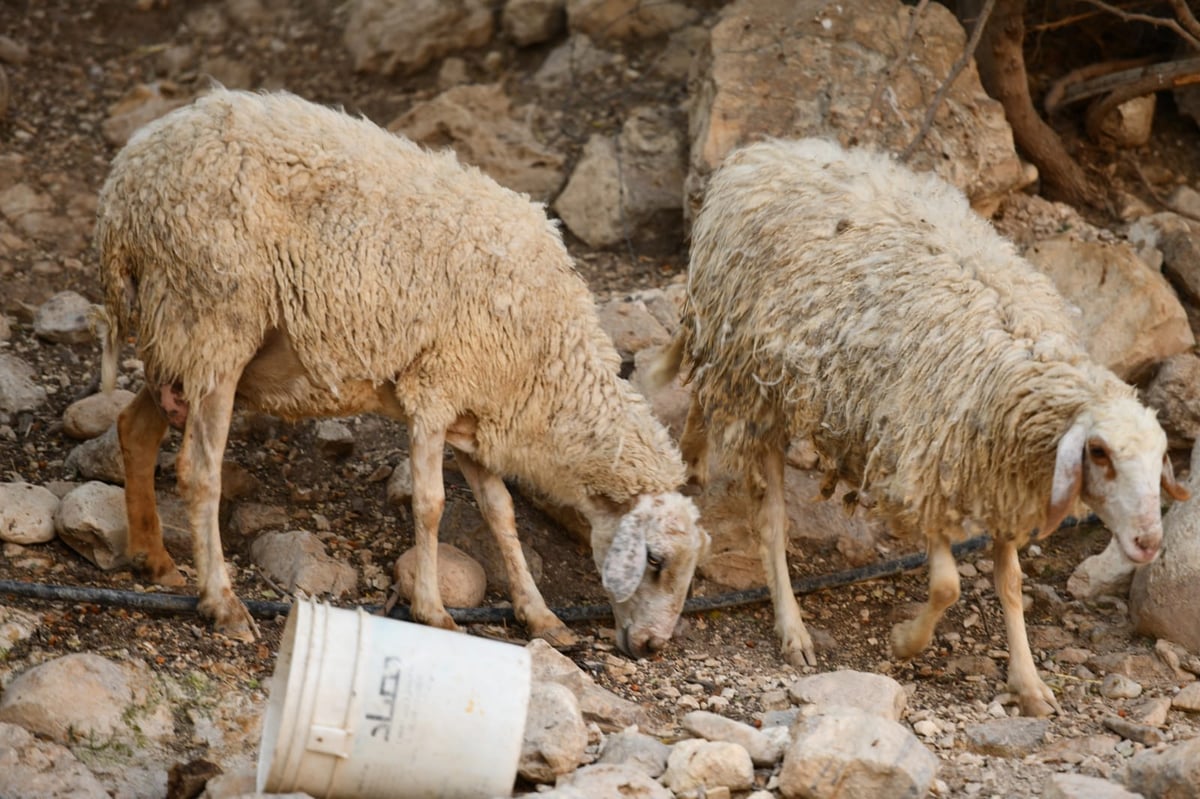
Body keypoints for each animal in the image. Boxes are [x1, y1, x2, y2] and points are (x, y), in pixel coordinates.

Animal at [100, 89, 710, 657]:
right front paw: (434, 611)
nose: (653, 647)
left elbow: (502, 514)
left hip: (177, 334)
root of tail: (127, 177)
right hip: (213, 318)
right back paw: (221, 602)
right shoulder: (435, 389)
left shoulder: (476, 408)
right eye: (655, 560)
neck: (547, 367)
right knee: (199, 472)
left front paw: (541, 616)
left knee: (135, 427)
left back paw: (155, 559)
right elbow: (431, 504)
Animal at [657, 136, 1190, 715]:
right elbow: (947, 587)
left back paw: (693, 458)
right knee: (770, 518)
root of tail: (762, 152)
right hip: (759, 378)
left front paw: (1028, 683)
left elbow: (1011, 583)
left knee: (701, 396)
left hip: (735, 355)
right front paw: (906, 643)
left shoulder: (1003, 483)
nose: (1148, 543)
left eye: (1160, 459)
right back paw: (792, 627)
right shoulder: (927, 468)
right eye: (1099, 453)